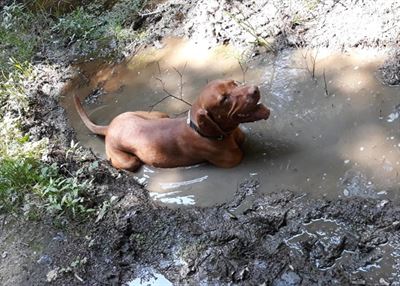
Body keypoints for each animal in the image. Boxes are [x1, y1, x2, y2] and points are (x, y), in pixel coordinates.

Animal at [73, 79, 270, 171]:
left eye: (234, 83)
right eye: (224, 99)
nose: (255, 89)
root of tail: (109, 127)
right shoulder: (234, 161)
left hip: (159, 114)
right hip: (129, 161)